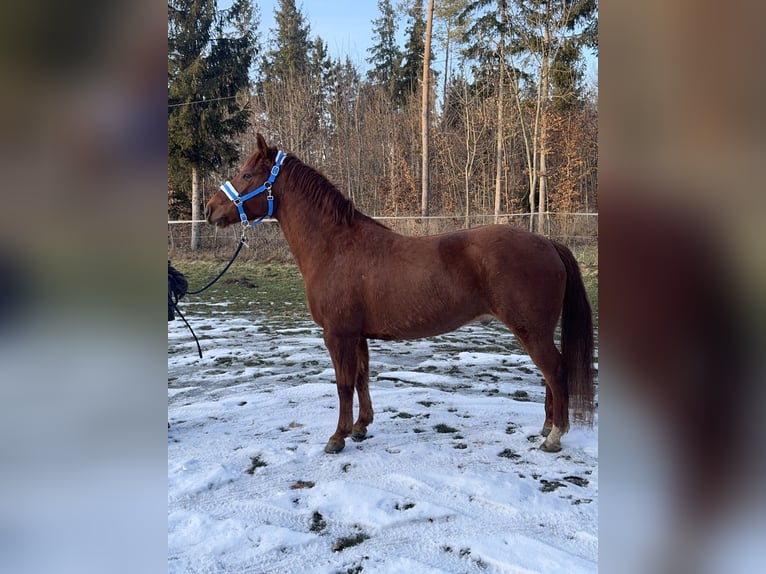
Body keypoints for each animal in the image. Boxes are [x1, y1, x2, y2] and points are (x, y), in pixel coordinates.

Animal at [205, 133, 595, 454]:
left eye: (248, 176)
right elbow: (361, 378)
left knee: (555, 371)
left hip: (532, 331)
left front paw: (337, 437)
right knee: (549, 375)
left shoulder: (337, 334)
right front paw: (360, 428)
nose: (210, 209)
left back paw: (554, 436)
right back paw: (546, 427)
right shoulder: (357, 335)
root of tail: (547, 242)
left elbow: (343, 384)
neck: (335, 246)